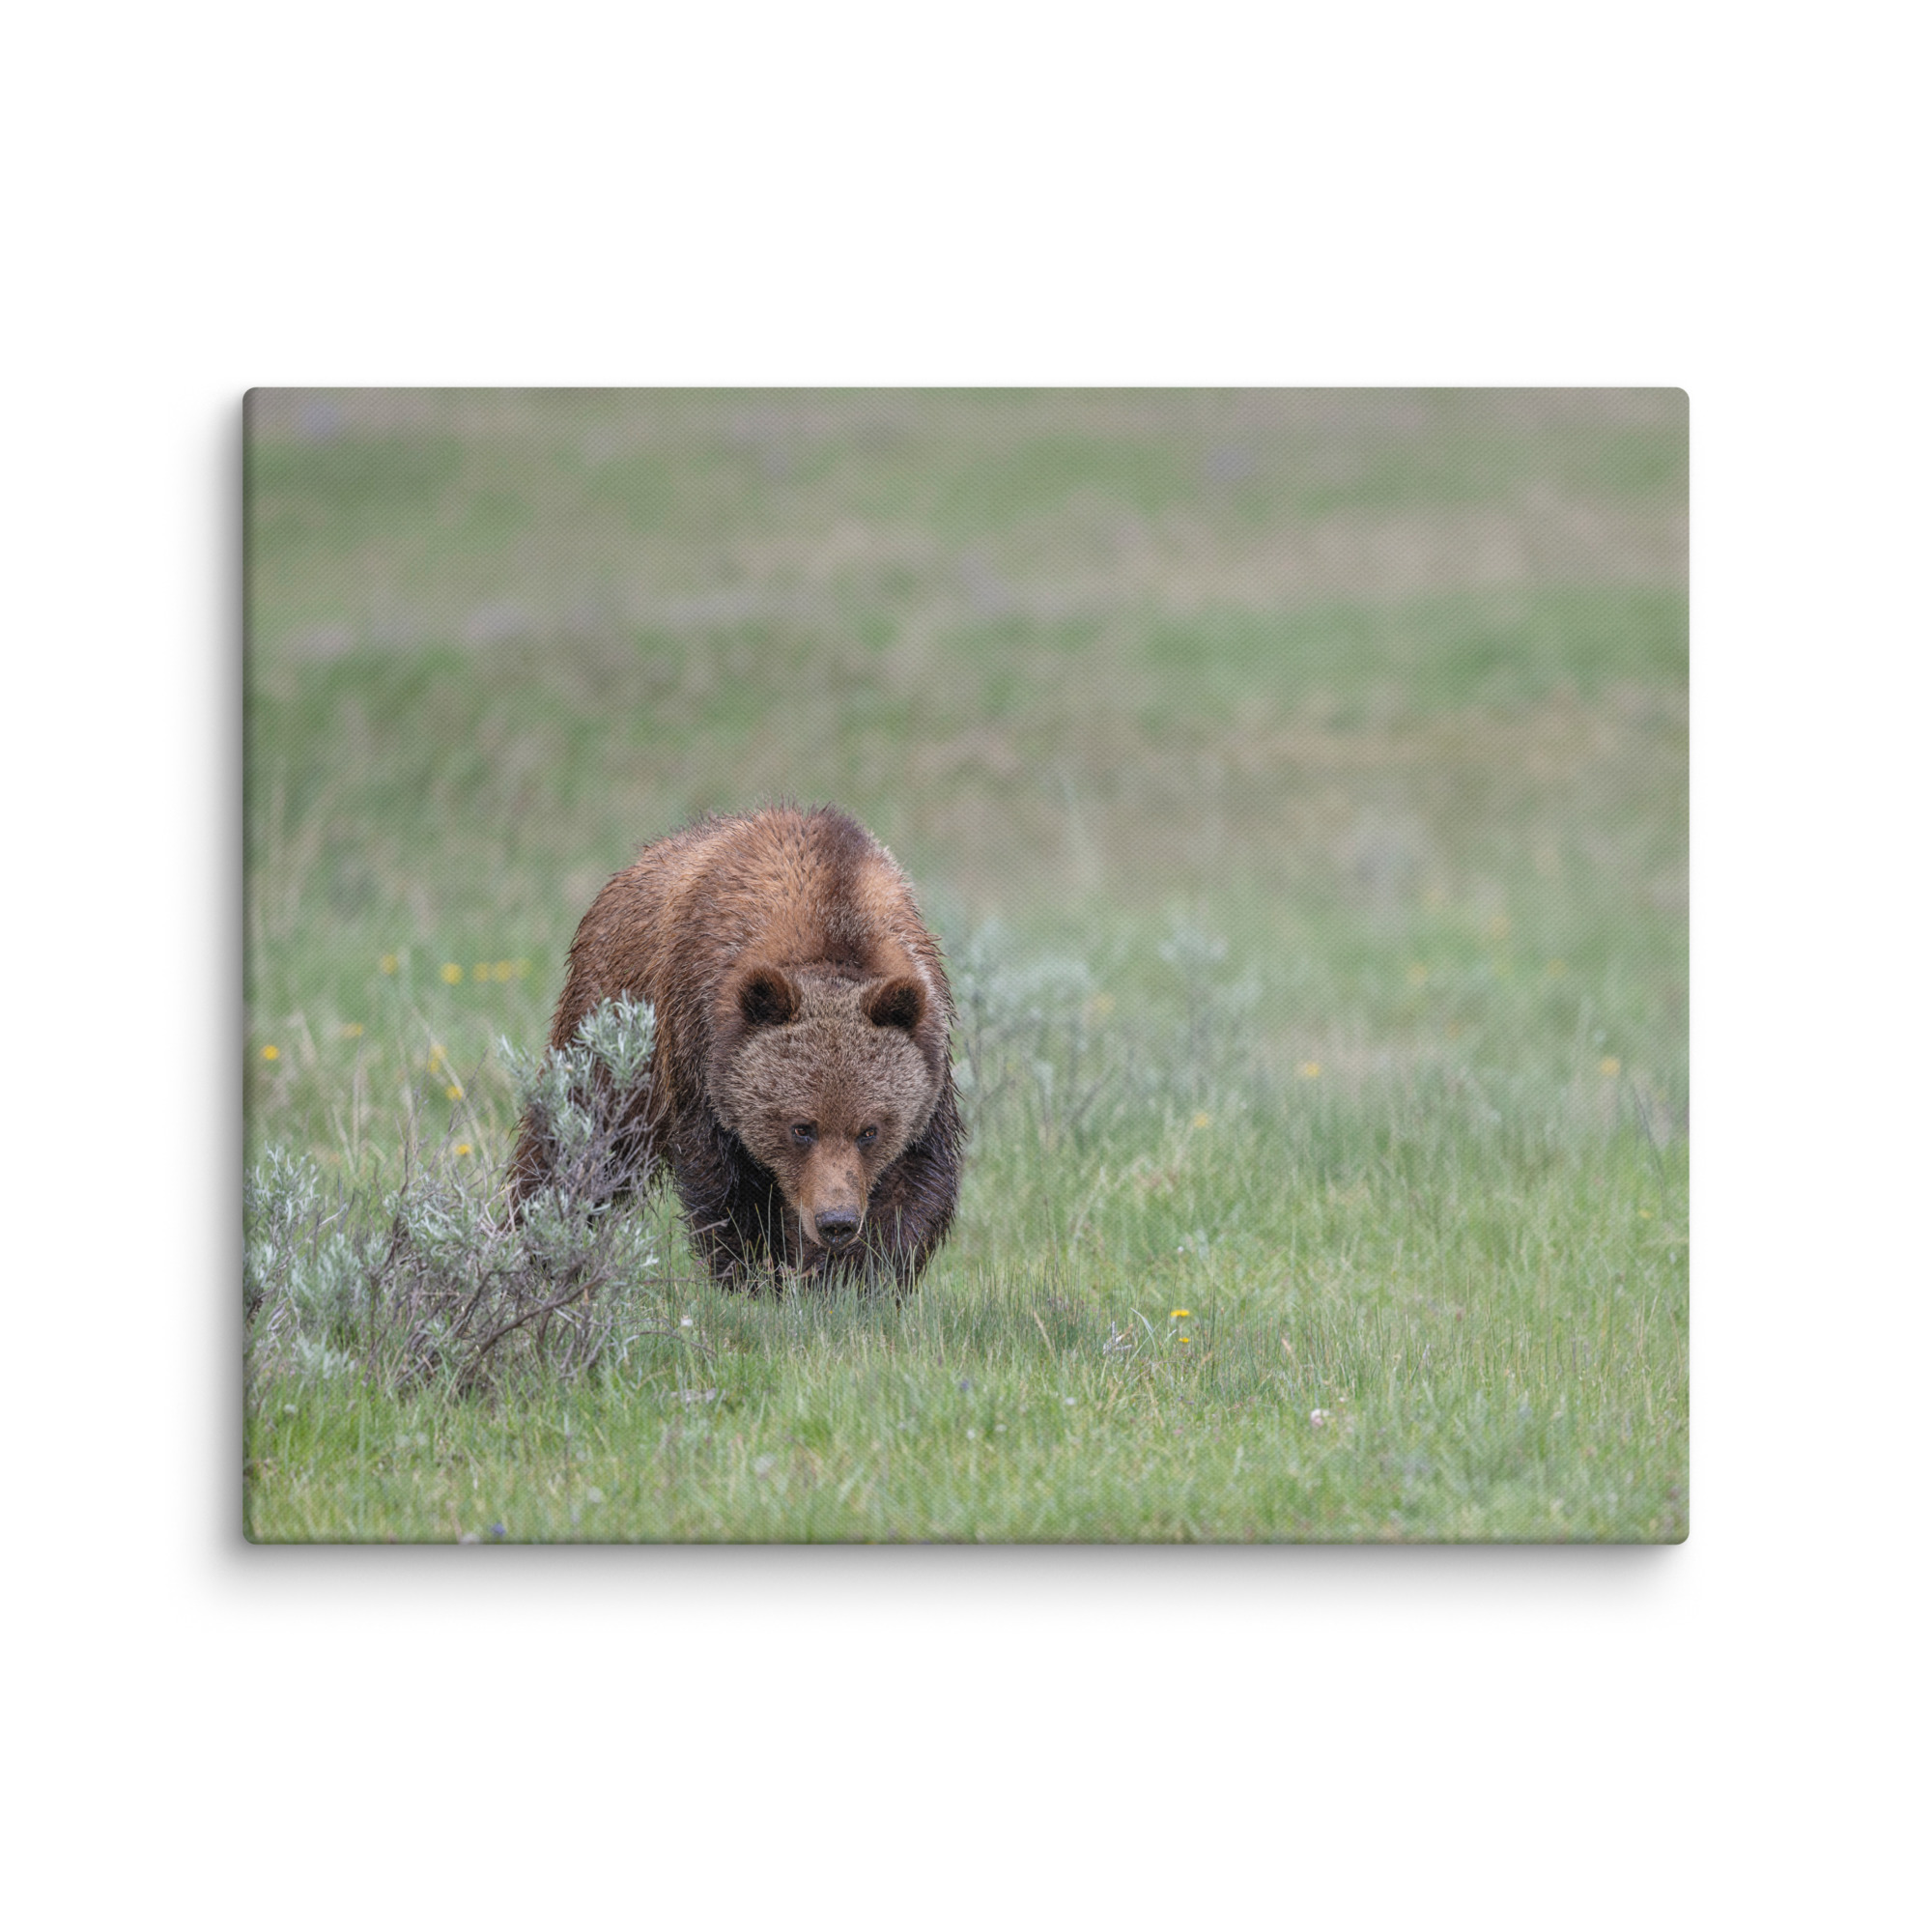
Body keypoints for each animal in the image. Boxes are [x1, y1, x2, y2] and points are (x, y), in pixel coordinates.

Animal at [508, 804, 963, 1292]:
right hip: (611, 1023)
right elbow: (728, 1189)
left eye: (869, 1130)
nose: (836, 1221)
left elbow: (913, 1185)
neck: (832, 922)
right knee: (577, 1138)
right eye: (801, 1127)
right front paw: (756, 1276)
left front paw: (853, 1279)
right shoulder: (701, 1049)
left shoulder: (928, 1061)